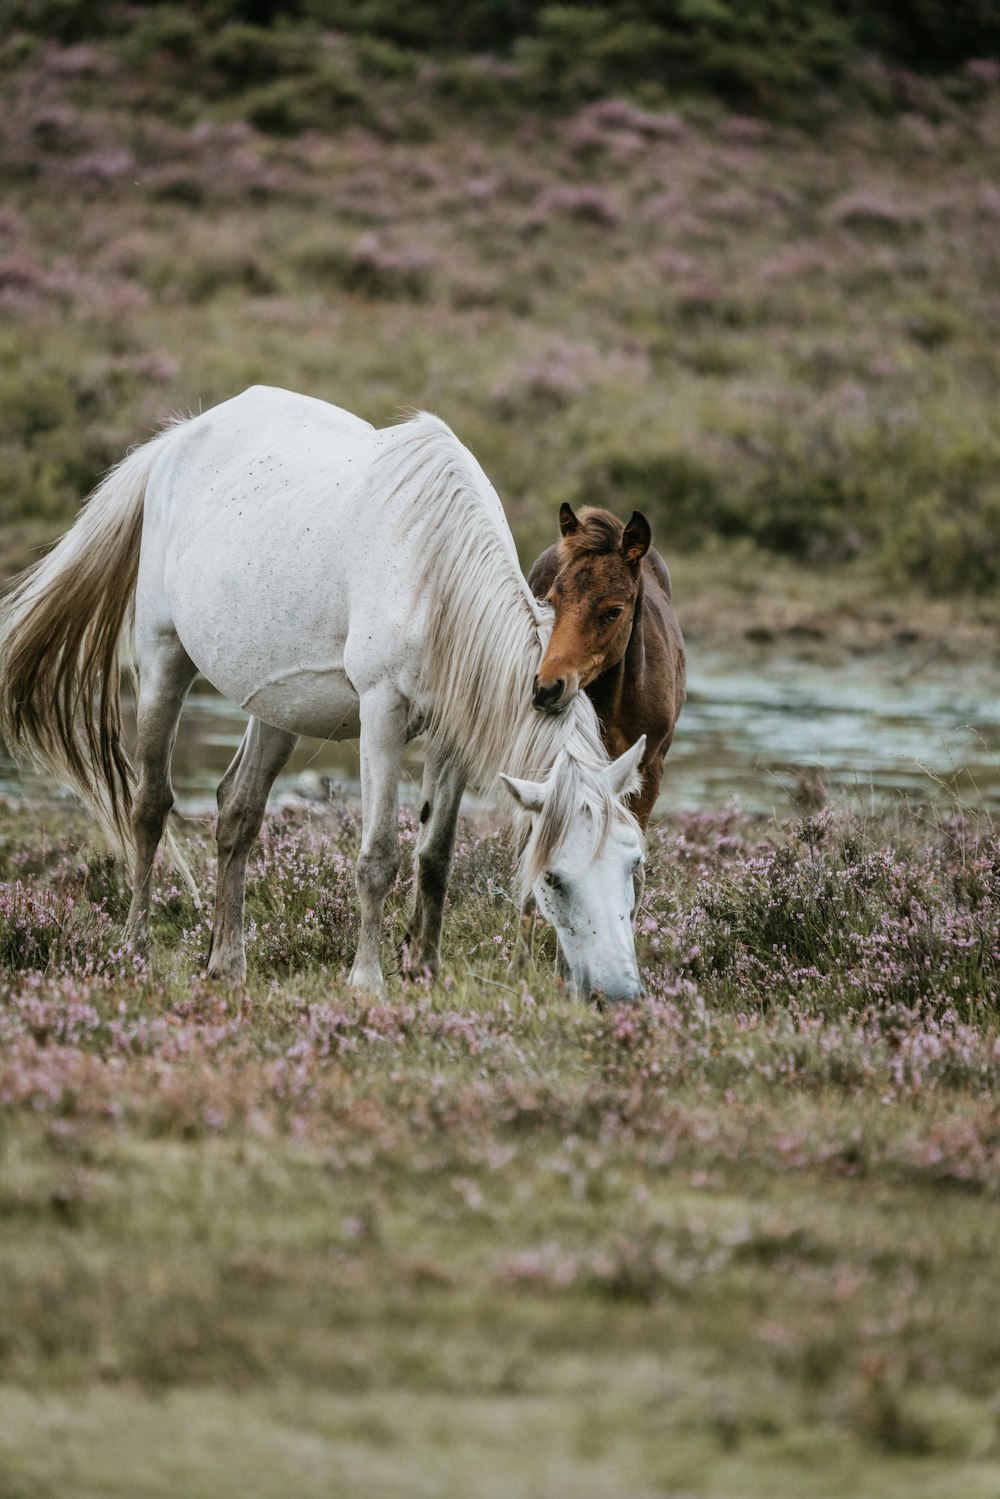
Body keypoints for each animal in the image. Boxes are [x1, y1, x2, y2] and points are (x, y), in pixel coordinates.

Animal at [0, 386, 650, 1001]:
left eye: (633, 862)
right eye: (553, 878)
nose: (618, 992)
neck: (434, 574)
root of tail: (176, 440)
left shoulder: (452, 735)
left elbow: (435, 858)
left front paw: (427, 971)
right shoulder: (382, 713)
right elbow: (379, 856)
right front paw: (367, 980)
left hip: (276, 706)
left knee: (237, 811)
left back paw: (226, 962)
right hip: (164, 661)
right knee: (149, 807)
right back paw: (134, 949)